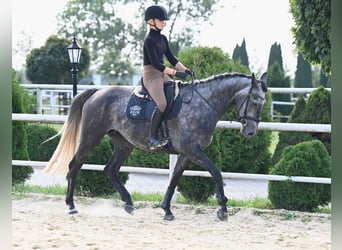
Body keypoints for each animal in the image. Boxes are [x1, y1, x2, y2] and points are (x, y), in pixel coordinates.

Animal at [44, 71, 268, 220]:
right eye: (255, 101)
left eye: (263, 103)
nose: (250, 132)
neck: (203, 103)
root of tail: (97, 92)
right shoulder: (193, 150)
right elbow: (216, 172)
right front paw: (222, 208)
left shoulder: (186, 153)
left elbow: (174, 178)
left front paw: (166, 209)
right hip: (91, 138)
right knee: (75, 166)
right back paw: (71, 205)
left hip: (124, 144)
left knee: (110, 169)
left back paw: (128, 203)